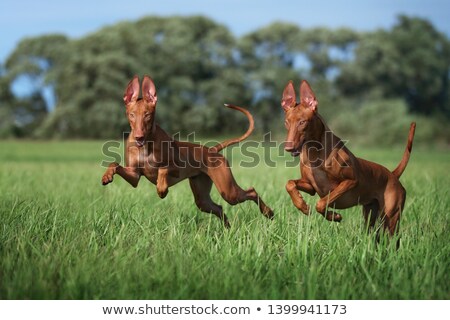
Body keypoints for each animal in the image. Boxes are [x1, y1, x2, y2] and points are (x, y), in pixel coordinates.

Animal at [101, 75, 274, 228]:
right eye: (132, 115)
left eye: (147, 115)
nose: (138, 136)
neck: (145, 145)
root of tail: (212, 150)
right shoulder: (135, 177)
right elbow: (114, 164)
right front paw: (106, 176)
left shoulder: (176, 168)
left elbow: (163, 169)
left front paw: (162, 189)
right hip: (202, 198)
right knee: (219, 208)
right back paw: (228, 229)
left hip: (228, 191)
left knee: (251, 192)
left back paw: (268, 213)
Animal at [282, 80, 414, 238]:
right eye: (286, 122)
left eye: (302, 122)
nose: (288, 148)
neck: (314, 153)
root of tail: (393, 175)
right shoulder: (311, 186)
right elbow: (289, 184)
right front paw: (302, 205)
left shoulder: (350, 181)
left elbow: (321, 203)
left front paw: (333, 216)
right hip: (370, 215)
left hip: (391, 218)